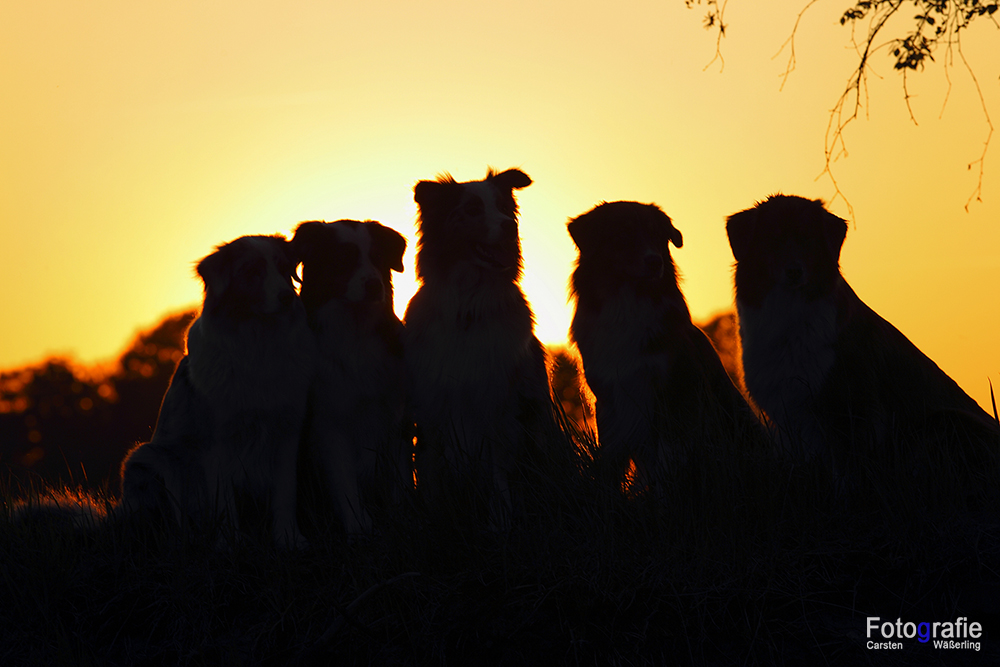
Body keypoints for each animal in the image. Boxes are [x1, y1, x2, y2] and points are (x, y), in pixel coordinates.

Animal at [122, 236, 314, 548]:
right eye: (252, 271)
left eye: (284, 268)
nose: (287, 297)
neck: (258, 345)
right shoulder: (217, 442)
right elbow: (224, 500)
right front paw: (230, 542)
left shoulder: (287, 430)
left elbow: (286, 492)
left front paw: (289, 538)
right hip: (150, 459)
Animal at [292, 220, 410, 536]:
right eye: (343, 259)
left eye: (378, 257)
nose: (374, 285)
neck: (354, 333)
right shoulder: (328, 421)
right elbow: (343, 480)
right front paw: (358, 526)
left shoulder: (395, 417)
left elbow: (399, 480)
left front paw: (402, 515)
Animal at [404, 167, 560, 528]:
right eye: (473, 209)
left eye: (503, 207)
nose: (510, 225)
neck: (468, 310)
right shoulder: (432, 406)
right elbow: (430, 475)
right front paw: (435, 519)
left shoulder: (499, 405)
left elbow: (498, 473)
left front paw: (501, 522)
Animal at [572, 201, 764, 494]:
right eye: (623, 234)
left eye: (657, 236)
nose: (655, 261)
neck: (628, 303)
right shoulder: (609, 399)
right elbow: (611, 459)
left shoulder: (678, 388)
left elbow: (669, 454)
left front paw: (662, 492)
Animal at [728, 196, 1000, 478]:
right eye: (773, 239)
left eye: (808, 240)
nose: (794, 271)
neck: (788, 310)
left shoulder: (850, 404)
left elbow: (847, 468)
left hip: (946, 421)